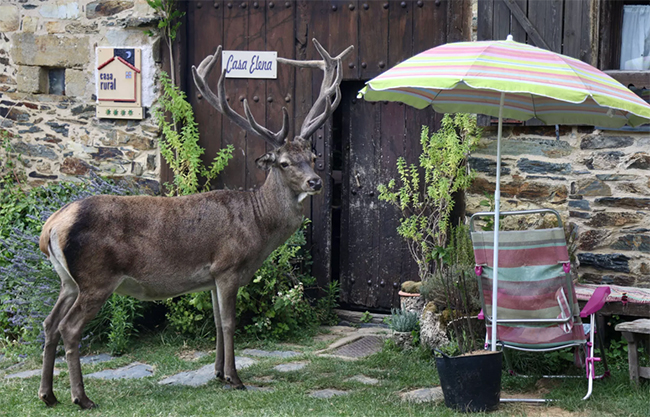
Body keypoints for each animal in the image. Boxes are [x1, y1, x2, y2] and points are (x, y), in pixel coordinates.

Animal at [37, 38, 353, 409]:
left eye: (313, 158)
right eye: (285, 163)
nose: (315, 182)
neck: (258, 225)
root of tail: (51, 225)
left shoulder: (211, 276)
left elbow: (216, 322)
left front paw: (217, 372)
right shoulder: (228, 266)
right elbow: (229, 323)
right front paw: (234, 378)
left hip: (67, 280)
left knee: (49, 323)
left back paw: (48, 394)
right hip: (96, 278)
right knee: (70, 328)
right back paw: (81, 397)